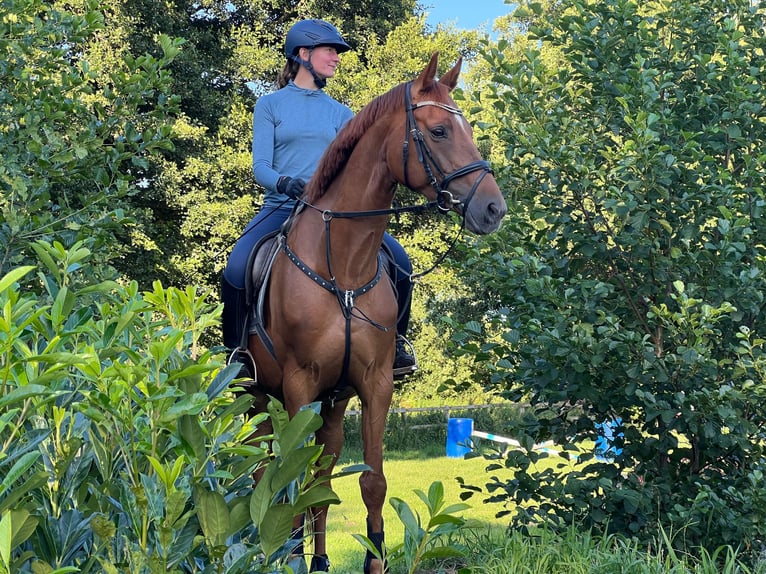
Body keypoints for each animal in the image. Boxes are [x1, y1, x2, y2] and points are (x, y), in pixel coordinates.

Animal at [249, 53, 508, 572]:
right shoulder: (299, 385)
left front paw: (374, 559)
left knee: (321, 476)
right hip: (259, 396)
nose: (493, 209)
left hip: (331, 403)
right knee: (262, 471)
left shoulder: (373, 384)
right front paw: (290, 557)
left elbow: (370, 481)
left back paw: (319, 560)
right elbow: (291, 480)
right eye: (438, 131)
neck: (344, 268)